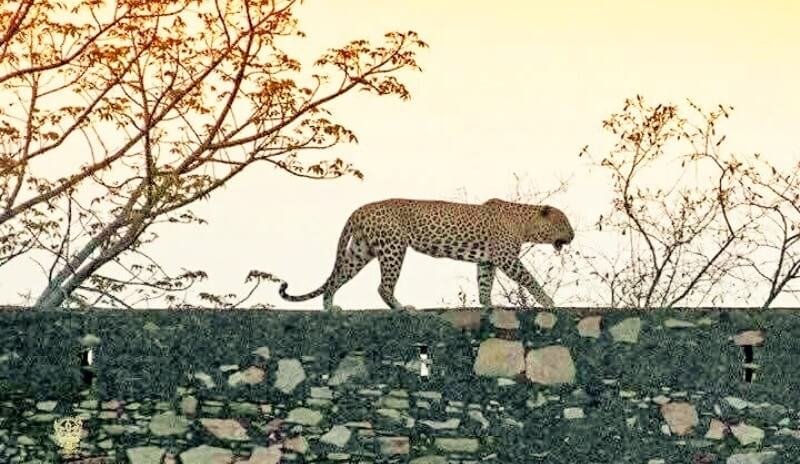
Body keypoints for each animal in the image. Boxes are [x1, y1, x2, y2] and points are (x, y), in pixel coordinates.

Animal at [278, 198, 575, 311]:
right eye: (564, 223)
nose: (572, 236)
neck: (525, 224)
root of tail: (360, 209)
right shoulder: (506, 258)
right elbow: (529, 279)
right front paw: (549, 303)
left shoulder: (487, 260)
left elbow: (484, 284)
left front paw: (488, 305)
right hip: (393, 247)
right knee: (383, 286)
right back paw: (401, 308)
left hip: (360, 251)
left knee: (337, 277)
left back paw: (330, 307)